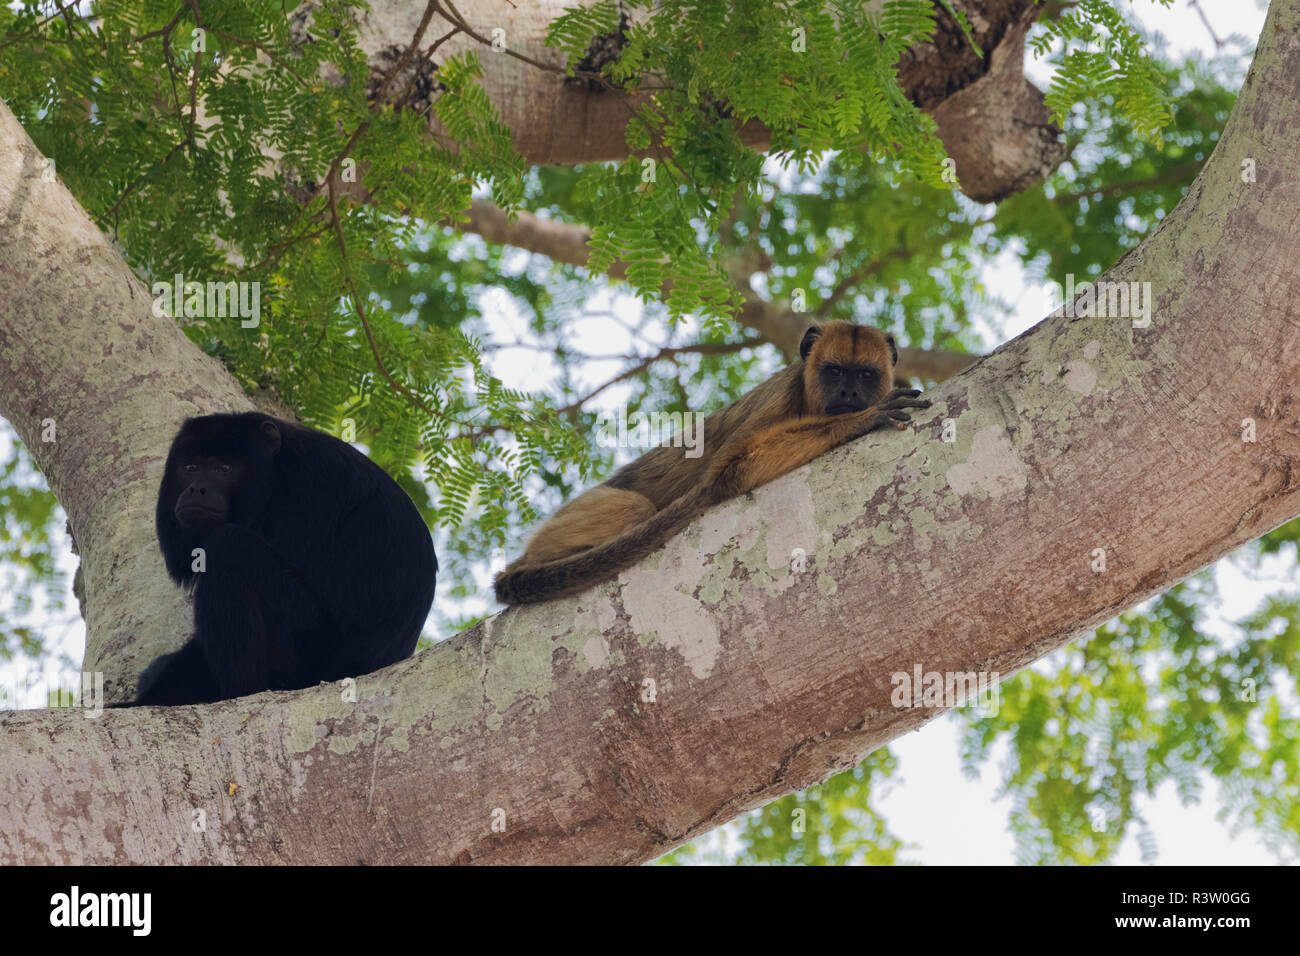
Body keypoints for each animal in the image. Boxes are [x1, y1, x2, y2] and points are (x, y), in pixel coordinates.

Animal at [131, 416, 436, 707]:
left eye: (224, 469)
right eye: (191, 468)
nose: (197, 489)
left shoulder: (305, 491)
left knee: (230, 545)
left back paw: (240, 691)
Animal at [491, 321, 930, 606]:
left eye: (866, 375)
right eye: (835, 371)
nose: (850, 394)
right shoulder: (782, 393)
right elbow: (731, 470)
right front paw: (862, 419)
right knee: (634, 508)